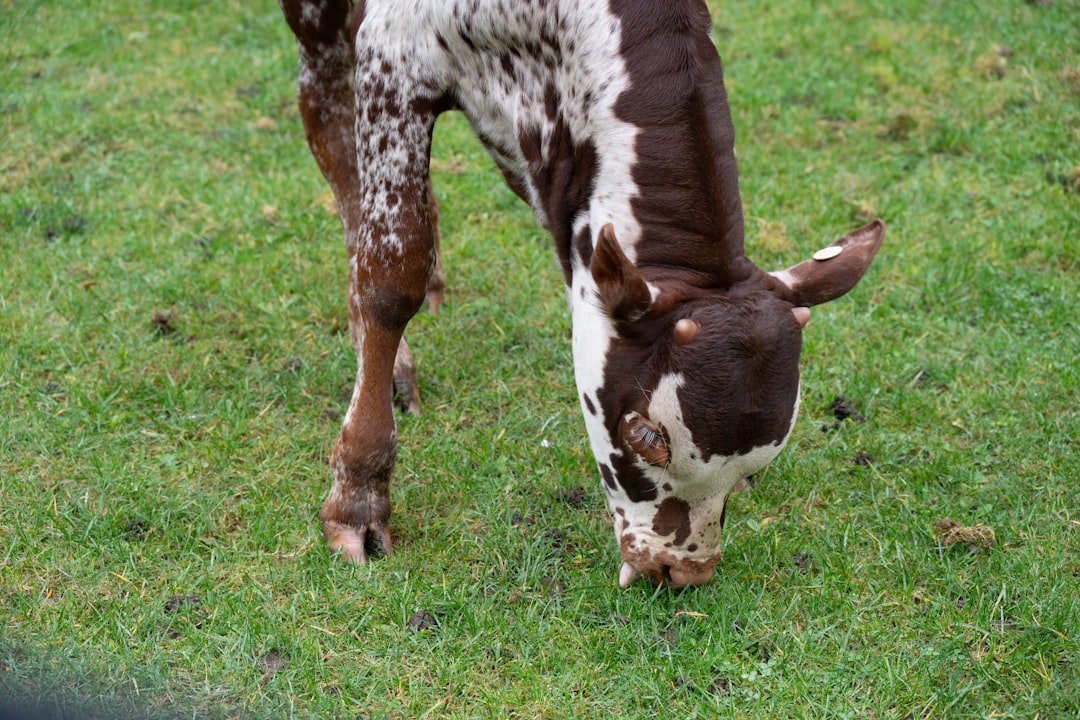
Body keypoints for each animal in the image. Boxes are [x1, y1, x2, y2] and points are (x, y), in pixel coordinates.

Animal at [278, 0, 884, 587]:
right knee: (327, 122)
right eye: (644, 434)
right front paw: (358, 498)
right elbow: (391, 276)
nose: (681, 570)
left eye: (753, 470)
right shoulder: (394, 50)